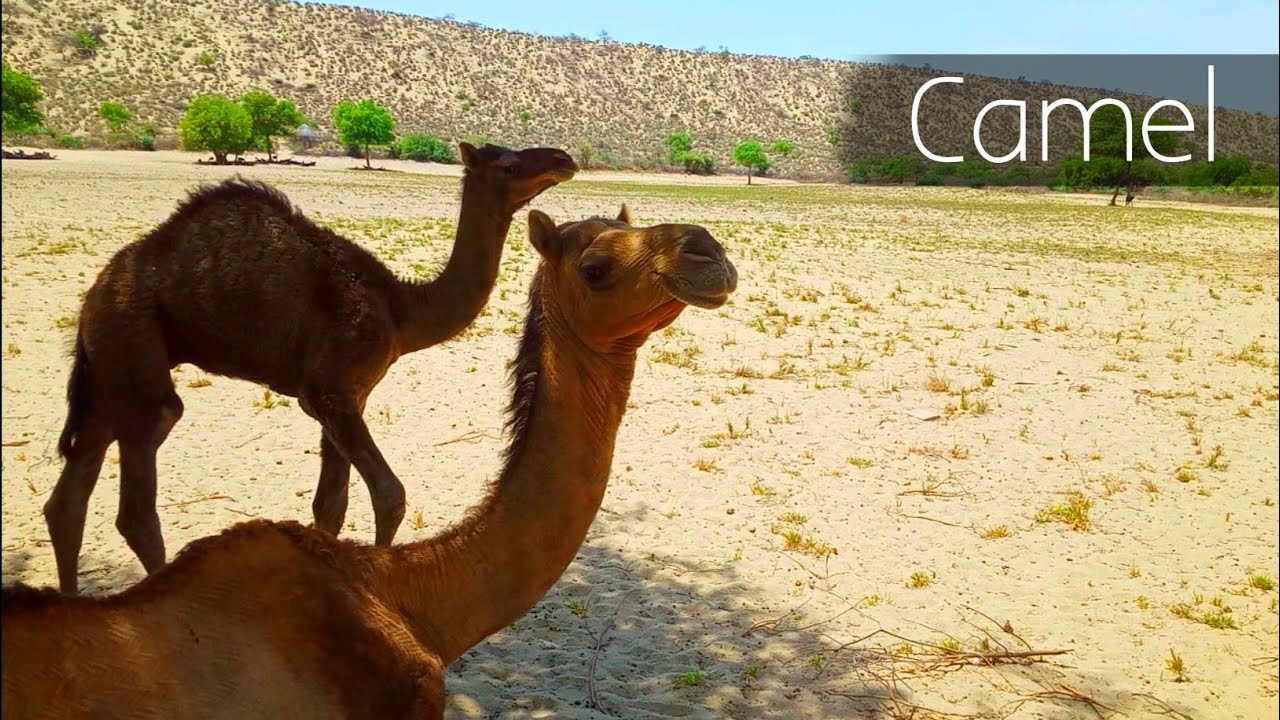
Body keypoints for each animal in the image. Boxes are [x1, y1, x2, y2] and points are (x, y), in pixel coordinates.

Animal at [44, 142, 578, 596]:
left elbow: (330, 508)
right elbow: (389, 494)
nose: (563, 158)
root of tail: (92, 297)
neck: (400, 309)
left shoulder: (346, 396)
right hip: (134, 351)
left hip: (106, 375)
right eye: (508, 164)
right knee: (139, 502)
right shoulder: (330, 392)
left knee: (67, 501)